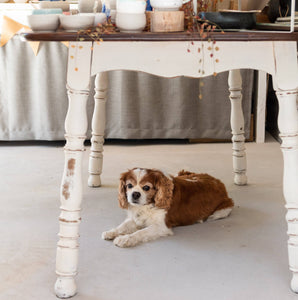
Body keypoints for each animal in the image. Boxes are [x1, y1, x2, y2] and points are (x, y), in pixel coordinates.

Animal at [101, 168, 234, 247]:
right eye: (129, 185)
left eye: (146, 187)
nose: (135, 194)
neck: (148, 205)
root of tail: (219, 182)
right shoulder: (136, 218)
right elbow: (123, 226)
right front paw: (111, 232)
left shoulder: (161, 226)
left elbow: (140, 232)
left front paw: (125, 239)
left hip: (221, 210)